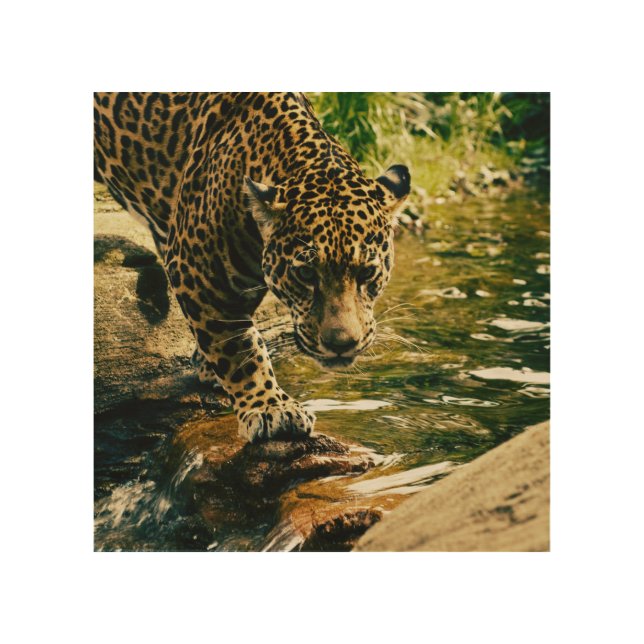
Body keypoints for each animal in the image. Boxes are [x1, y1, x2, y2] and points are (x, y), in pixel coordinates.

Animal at [94, 92, 410, 442]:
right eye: (305, 274)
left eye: (367, 273)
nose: (341, 345)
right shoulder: (198, 269)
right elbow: (239, 346)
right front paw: (272, 407)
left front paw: (207, 366)